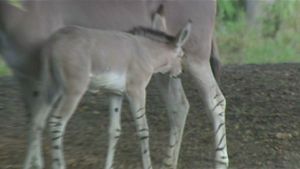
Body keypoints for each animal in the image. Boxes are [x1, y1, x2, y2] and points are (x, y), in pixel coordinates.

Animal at [25, 23, 191, 169]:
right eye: (181, 55)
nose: (181, 73)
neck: (147, 53)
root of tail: (53, 41)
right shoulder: (136, 91)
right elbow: (143, 130)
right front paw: (148, 166)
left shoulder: (115, 94)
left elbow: (114, 131)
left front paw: (109, 166)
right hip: (73, 91)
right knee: (56, 122)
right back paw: (58, 164)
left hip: (52, 87)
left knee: (37, 119)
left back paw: (33, 164)